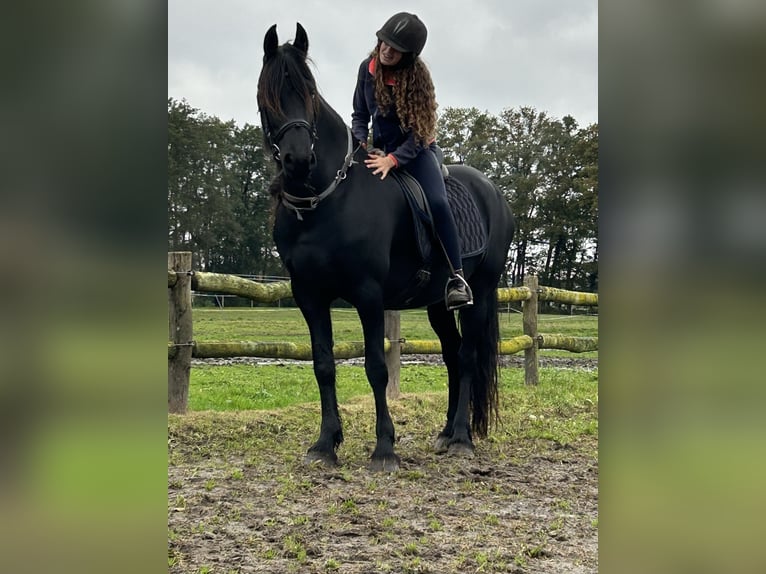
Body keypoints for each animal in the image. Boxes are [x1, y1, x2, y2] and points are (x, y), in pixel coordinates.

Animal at [257, 23, 515, 472]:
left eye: (309, 91)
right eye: (267, 94)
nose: (298, 161)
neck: (327, 200)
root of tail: (494, 193)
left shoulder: (368, 294)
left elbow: (377, 366)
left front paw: (384, 448)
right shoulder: (309, 295)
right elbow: (323, 365)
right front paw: (324, 444)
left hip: (480, 293)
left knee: (467, 356)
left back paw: (462, 438)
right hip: (436, 304)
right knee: (451, 354)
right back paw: (445, 433)